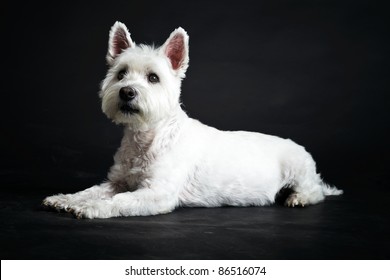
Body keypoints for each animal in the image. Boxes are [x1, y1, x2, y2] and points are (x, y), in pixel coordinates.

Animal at [42, 21, 342, 219]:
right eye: (121, 74)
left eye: (153, 77)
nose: (127, 92)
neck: (148, 136)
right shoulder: (117, 181)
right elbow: (93, 189)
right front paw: (65, 199)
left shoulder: (157, 193)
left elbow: (120, 201)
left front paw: (89, 208)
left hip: (298, 168)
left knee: (315, 191)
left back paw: (297, 198)